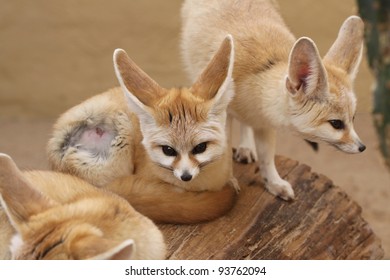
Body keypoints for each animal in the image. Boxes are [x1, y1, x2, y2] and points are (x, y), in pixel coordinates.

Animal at [182, 0, 366, 201]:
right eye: (336, 124)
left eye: (353, 119)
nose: (362, 147)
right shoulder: (223, 115)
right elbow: (223, 151)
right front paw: (227, 179)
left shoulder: (264, 124)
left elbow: (267, 157)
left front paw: (273, 183)